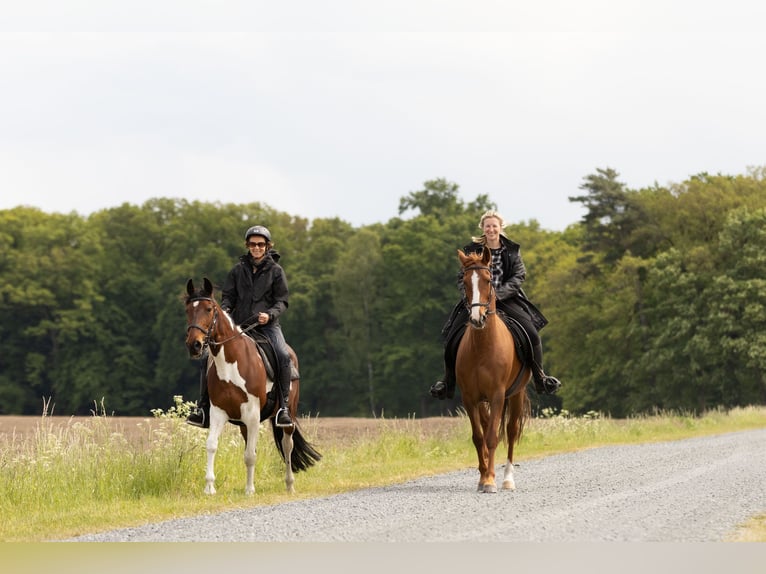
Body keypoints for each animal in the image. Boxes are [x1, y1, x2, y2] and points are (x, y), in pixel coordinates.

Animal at [184, 277, 321, 495]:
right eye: (188, 310)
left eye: (209, 309)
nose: (194, 345)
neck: (231, 362)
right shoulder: (218, 412)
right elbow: (212, 445)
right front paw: (210, 487)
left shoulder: (253, 414)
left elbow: (250, 455)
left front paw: (249, 490)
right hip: (244, 424)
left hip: (287, 415)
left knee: (287, 445)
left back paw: (289, 484)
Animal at [455, 247, 531, 493]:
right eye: (464, 281)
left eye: (488, 280)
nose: (477, 319)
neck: (482, 346)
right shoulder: (470, 398)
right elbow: (479, 437)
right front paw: (483, 478)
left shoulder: (498, 395)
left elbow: (492, 438)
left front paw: (490, 480)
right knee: (489, 425)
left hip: (516, 395)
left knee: (511, 430)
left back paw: (507, 479)